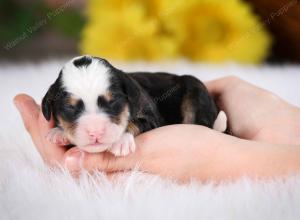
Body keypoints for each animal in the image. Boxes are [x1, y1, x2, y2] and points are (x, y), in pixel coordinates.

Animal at [41, 55, 225, 156]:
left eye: (113, 102)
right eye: (70, 108)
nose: (95, 132)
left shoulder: (152, 118)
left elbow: (133, 122)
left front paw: (121, 141)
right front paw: (58, 133)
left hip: (195, 90)